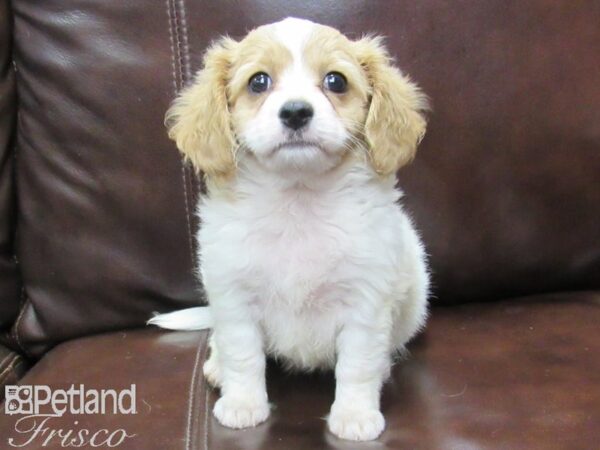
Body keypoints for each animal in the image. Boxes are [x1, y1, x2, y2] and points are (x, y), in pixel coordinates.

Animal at [150, 16, 432, 440]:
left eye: (335, 81)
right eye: (258, 82)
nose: (296, 112)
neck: (298, 202)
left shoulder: (365, 304)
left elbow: (358, 365)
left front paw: (354, 414)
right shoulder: (234, 299)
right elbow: (243, 355)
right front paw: (243, 404)